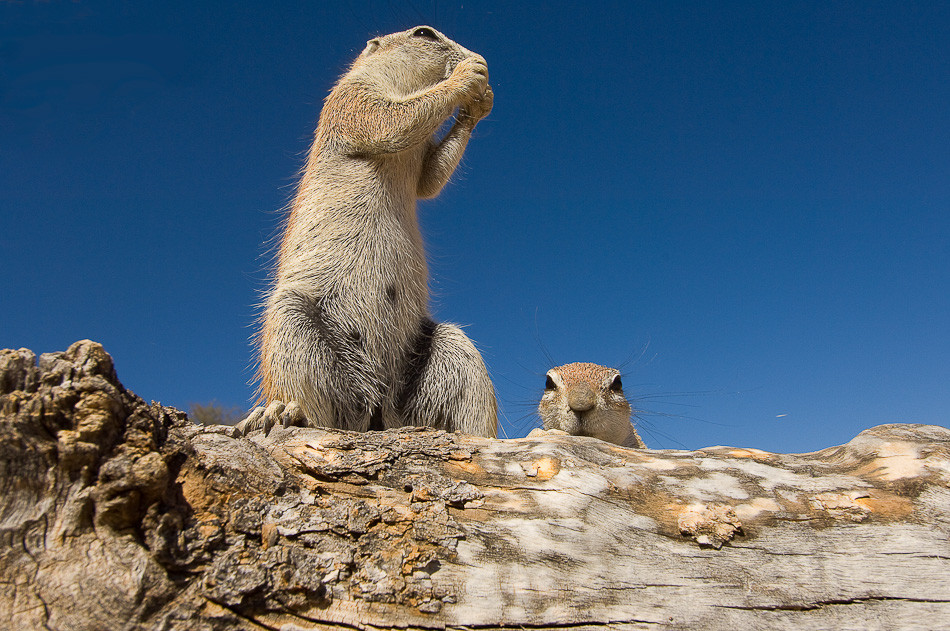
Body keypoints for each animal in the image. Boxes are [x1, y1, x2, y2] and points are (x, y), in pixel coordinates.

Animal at [237, 25, 498, 440]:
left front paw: (480, 103)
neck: (403, 83)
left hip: (451, 349)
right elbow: (391, 122)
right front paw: (468, 76)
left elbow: (429, 179)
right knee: (316, 406)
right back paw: (280, 412)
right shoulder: (352, 98)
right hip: (290, 320)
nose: (482, 59)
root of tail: (377, 410)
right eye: (425, 33)